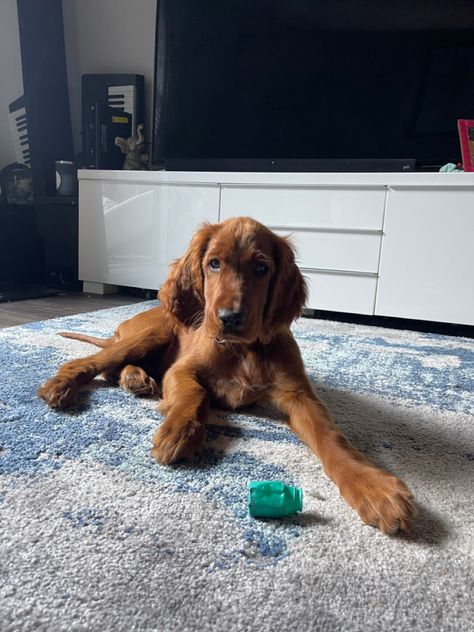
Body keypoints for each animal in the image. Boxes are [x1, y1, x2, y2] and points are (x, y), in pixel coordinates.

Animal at [38, 217, 414, 532]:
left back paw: (136, 379)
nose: (229, 317)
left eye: (262, 267)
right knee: (94, 361)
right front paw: (179, 432)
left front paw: (373, 488)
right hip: (154, 332)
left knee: (115, 369)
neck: (241, 350)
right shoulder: (181, 370)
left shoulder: (299, 395)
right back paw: (62, 385)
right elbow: (196, 393)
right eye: (214, 263)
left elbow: (331, 437)